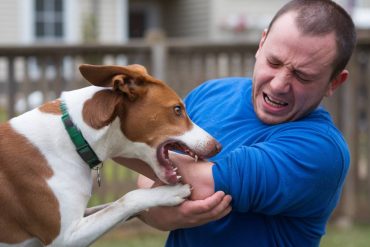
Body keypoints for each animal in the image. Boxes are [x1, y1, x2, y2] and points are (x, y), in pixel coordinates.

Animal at [0, 64, 220, 247]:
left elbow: (113, 206)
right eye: (177, 109)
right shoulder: (66, 237)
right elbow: (127, 199)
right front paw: (168, 194)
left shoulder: (83, 217)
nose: (217, 146)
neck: (74, 136)